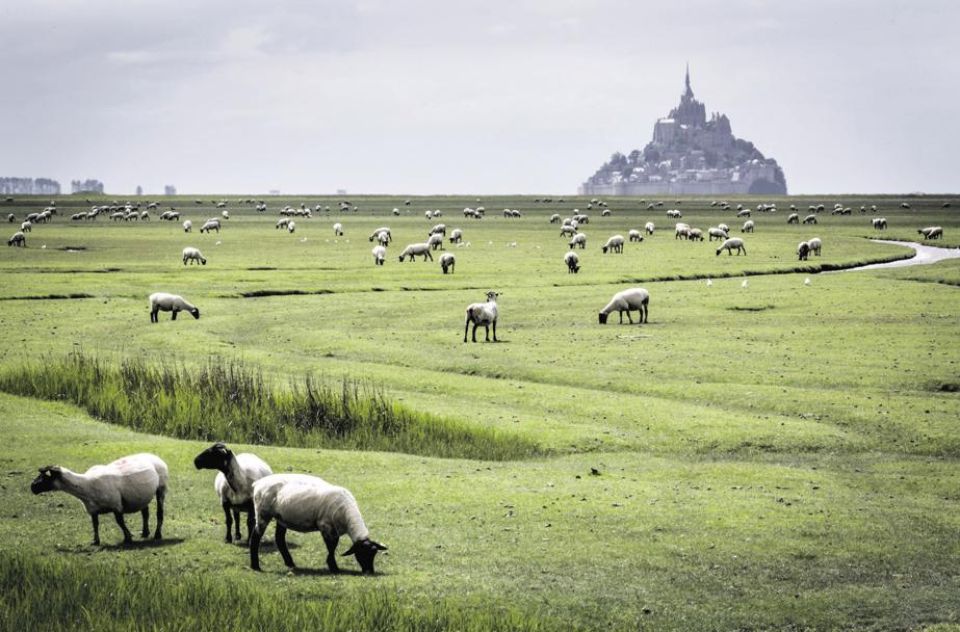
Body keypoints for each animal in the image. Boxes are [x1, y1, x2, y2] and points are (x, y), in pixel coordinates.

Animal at [29, 452, 168, 544]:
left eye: (45, 477)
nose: (32, 487)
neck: (85, 485)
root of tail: (154, 455)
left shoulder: (116, 505)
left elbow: (120, 522)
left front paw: (128, 537)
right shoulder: (93, 509)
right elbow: (95, 524)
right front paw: (95, 541)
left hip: (161, 488)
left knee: (159, 512)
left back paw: (157, 534)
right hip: (141, 495)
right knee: (145, 513)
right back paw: (145, 533)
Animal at [249, 474, 388, 572]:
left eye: (374, 553)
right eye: (361, 554)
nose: (369, 572)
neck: (348, 517)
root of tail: (258, 483)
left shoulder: (334, 529)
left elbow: (333, 545)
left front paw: (332, 565)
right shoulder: (325, 525)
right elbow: (332, 547)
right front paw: (333, 567)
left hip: (281, 517)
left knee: (279, 539)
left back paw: (290, 563)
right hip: (263, 513)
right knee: (255, 537)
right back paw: (255, 566)